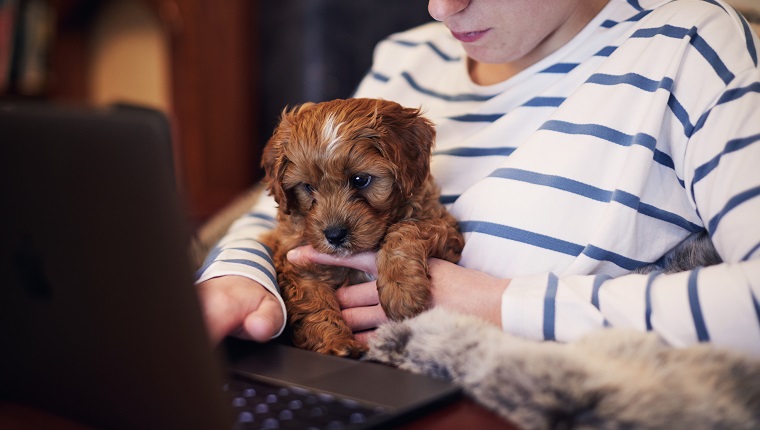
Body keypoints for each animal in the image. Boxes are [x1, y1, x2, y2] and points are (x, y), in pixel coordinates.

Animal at [260, 99, 464, 358]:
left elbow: (407, 229)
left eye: (360, 180)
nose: (334, 235)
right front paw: (336, 343)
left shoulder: (446, 229)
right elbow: (314, 304)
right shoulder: (295, 263)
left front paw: (401, 289)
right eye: (308, 187)